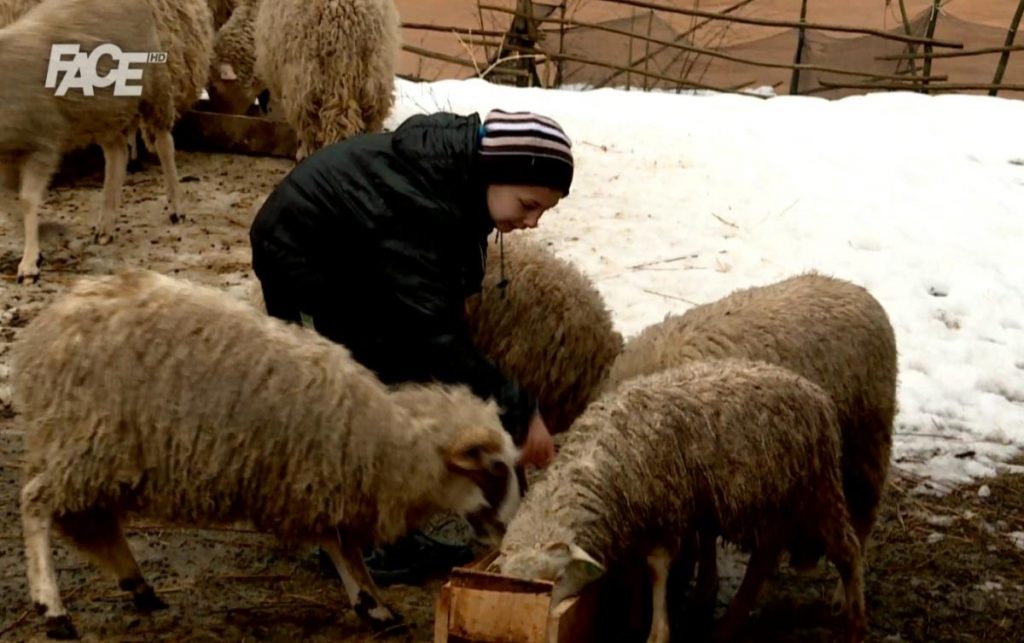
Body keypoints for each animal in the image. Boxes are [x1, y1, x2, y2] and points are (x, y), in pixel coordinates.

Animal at [14, 268, 528, 638]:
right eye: (495, 470)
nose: (509, 533)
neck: (380, 438)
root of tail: (47, 328)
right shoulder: (314, 476)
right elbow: (344, 547)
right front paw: (372, 601)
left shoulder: (315, 483)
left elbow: (341, 546)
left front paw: (371, 604)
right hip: (88, 441)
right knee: (36, 503)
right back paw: (52, 608)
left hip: (99, 452)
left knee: (90, 519)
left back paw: (137, 584)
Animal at [207, 0, 399, 159]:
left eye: (214, 87)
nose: (220, 117)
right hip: (375, 84)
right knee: (369, 124)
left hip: (309, 82)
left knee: (312, 128)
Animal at [493, 358, 864, 643]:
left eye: (555, 579)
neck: (598, 458)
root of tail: (816, 393)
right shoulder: (635, 516)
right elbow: (636, 570)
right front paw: (632, 617)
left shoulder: (666, 512)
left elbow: (657, 567)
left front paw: (657, 632)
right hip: (775, 498)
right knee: (764, 557)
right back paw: (726, 626)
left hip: (817, 488)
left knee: (847, 551)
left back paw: (855, 623)